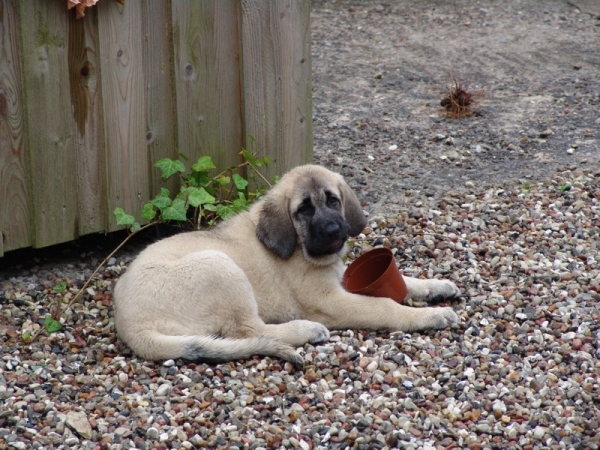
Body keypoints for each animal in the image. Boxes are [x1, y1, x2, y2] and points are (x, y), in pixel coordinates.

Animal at [113, 165, 460, 366]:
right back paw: (305, 329)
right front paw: (429, 315)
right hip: (220, 267)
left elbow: (406, 281)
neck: (301, 248)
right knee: (248, 329)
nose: (333, 231)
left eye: (333, 200)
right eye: (303, 210)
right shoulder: (330, 301)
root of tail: (131, 326)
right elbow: (384, 305)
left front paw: (435, 286)